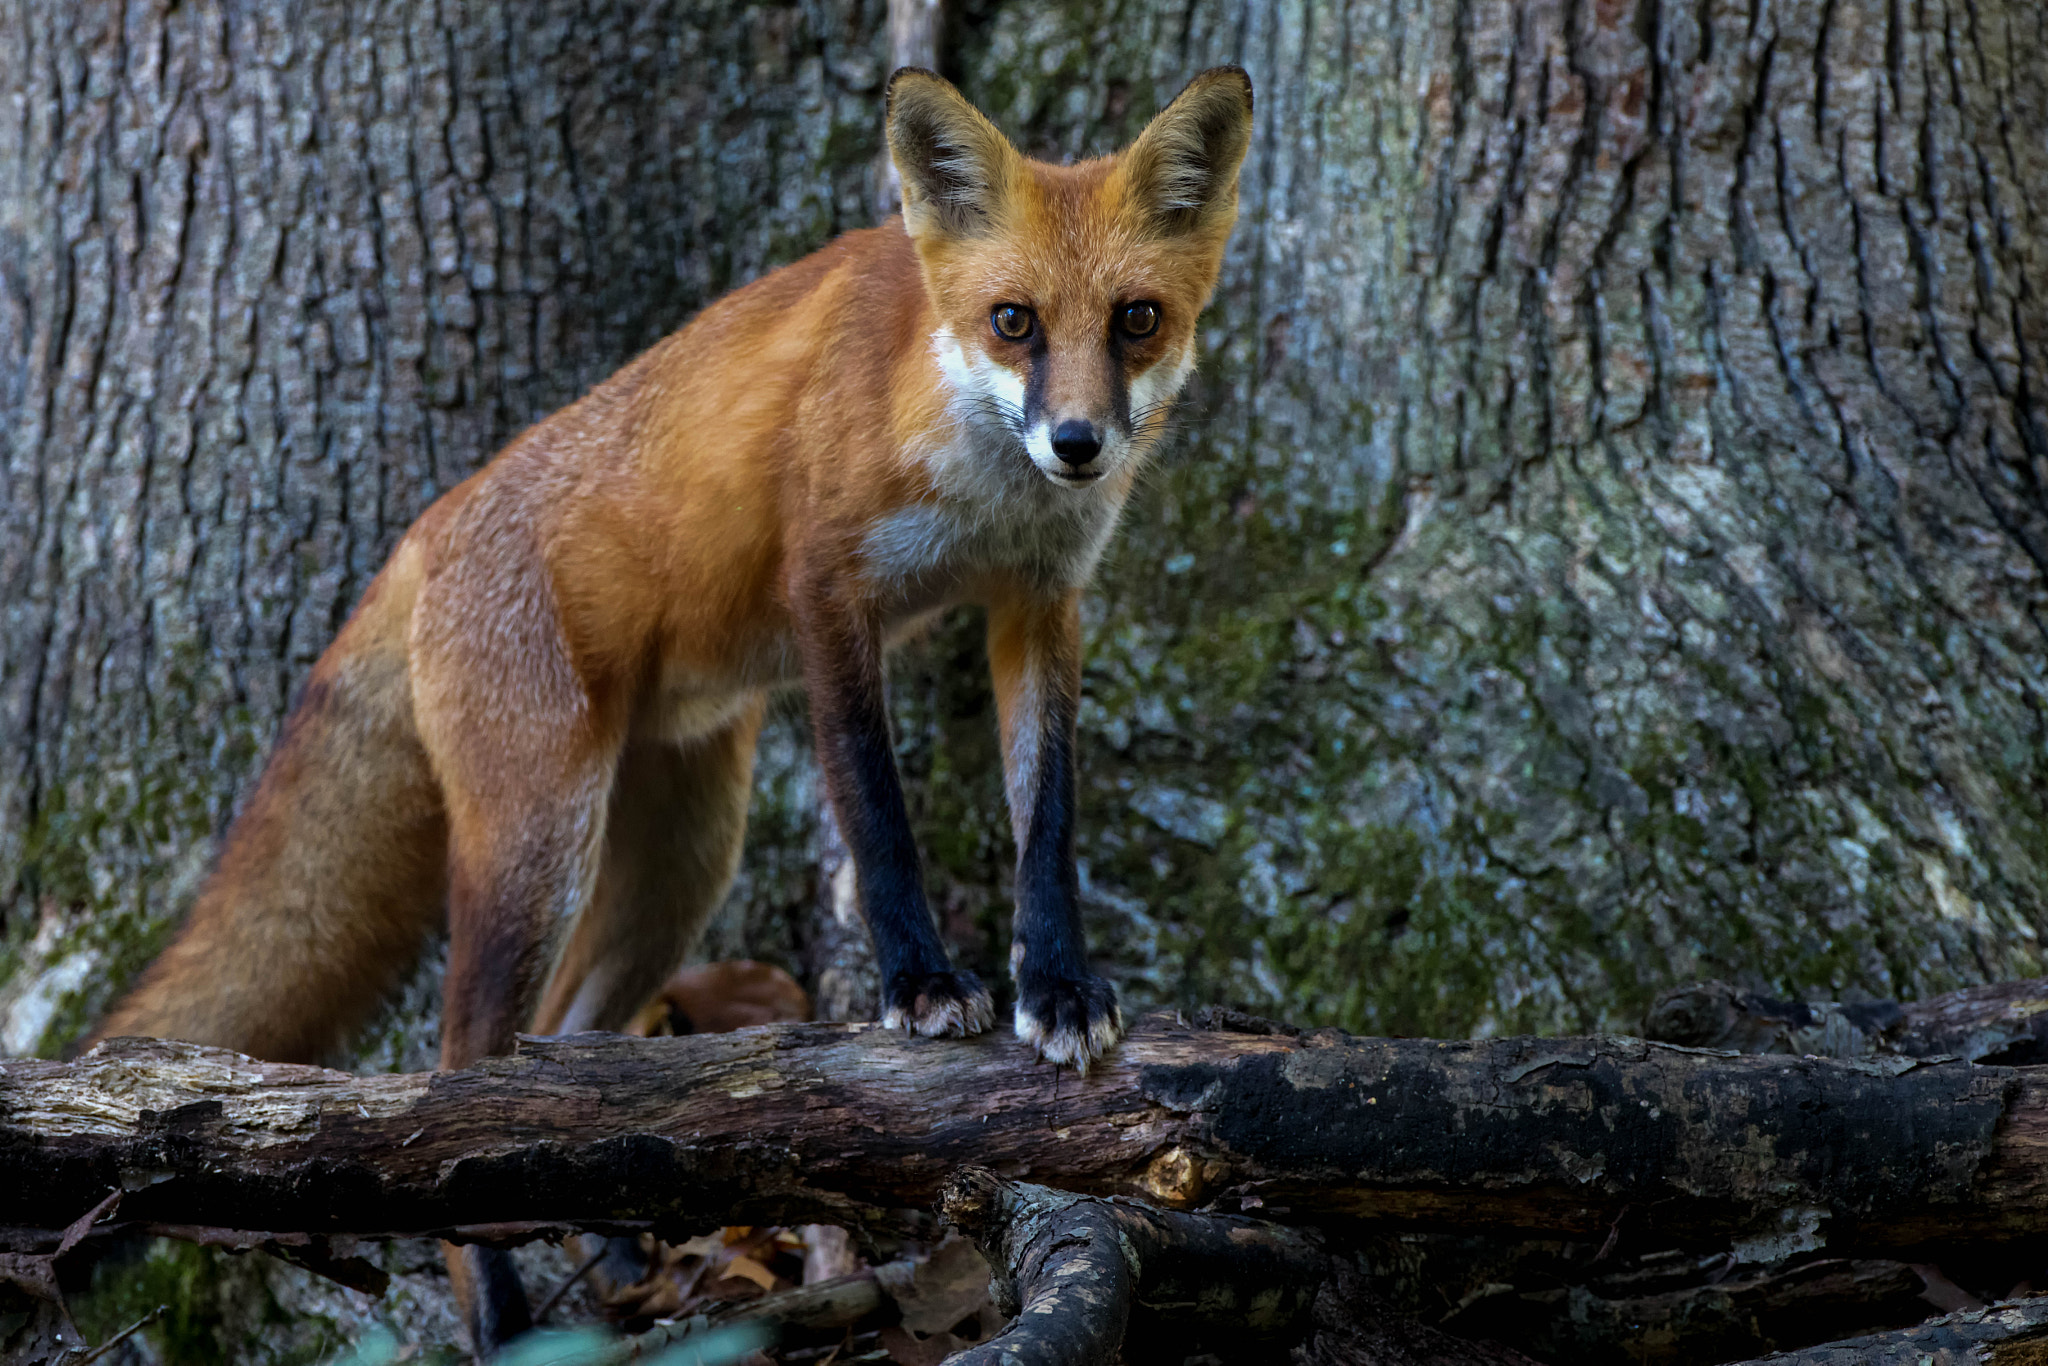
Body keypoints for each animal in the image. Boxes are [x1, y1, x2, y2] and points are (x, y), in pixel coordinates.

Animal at [96, 66, 1253, 1081]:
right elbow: (876, 813)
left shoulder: (1039, 601)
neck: (981, 492)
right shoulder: (826, 589)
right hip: (542, 847)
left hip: (680, 867)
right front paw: (918, 984)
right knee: (462, 1058)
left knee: (566, 1033)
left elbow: (1048, 820)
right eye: (1014, 321)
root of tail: (428, 526)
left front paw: (1056, 985)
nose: (1076, 444)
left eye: (1136, 319)